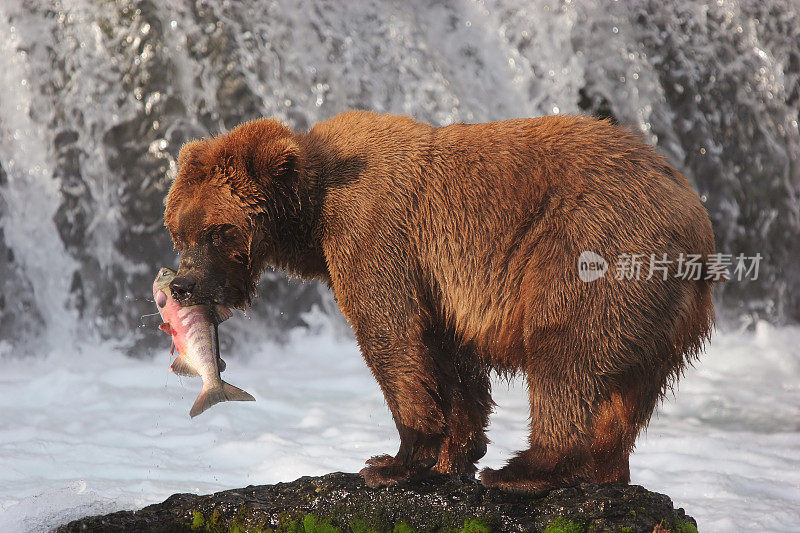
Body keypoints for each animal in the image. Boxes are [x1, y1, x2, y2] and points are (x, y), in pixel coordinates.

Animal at [161, 110, 712, 488]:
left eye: (218, 231)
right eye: (179, 231)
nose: (182, 286)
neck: (312, 214)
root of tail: (695, 217)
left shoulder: (374, 236)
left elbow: (392, 336)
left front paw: (395, 460)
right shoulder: (437, 284)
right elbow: (450, 355)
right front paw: (456, 453)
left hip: (590, 248)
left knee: (564, 352)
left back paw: (524, 471)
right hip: (664, 310)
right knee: (633, 389)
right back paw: (604, 467)